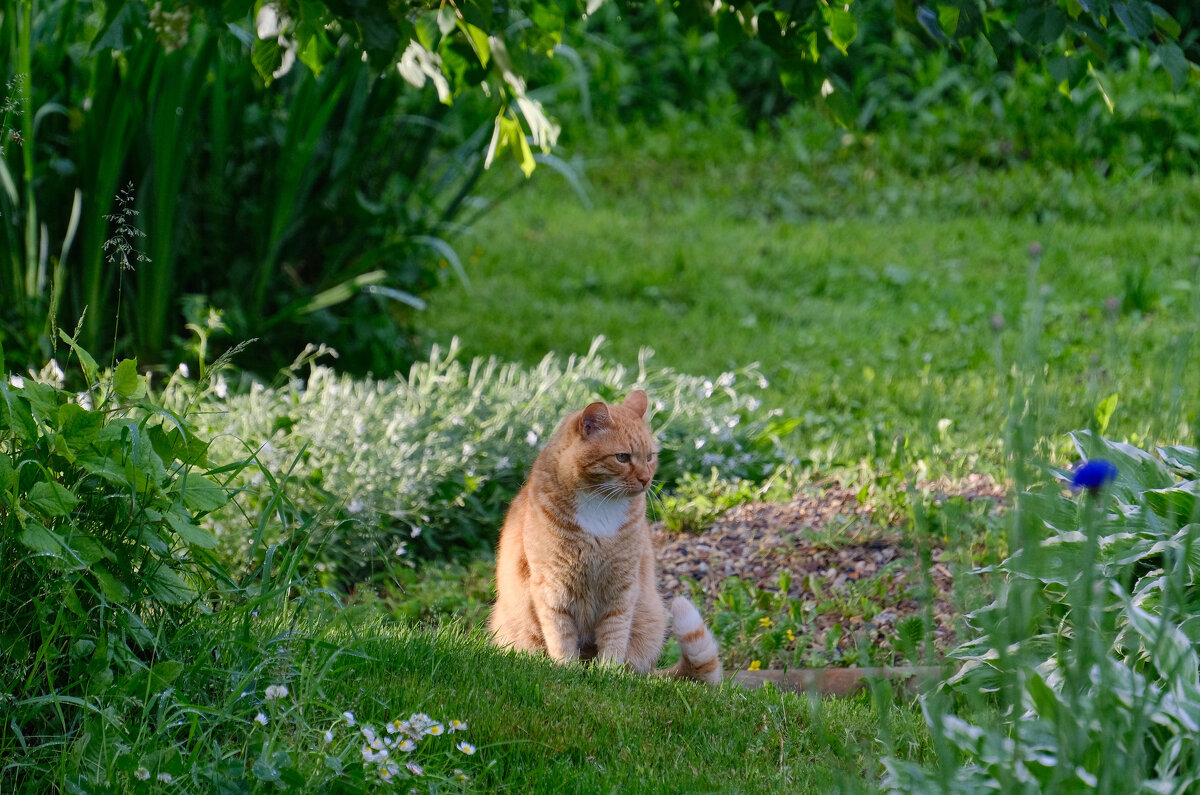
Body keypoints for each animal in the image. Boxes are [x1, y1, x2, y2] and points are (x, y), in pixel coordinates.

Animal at [487, 391, 720, 686]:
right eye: (622, 457)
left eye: (650, 457)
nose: (646, 479)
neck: (600, 506)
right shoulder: (553, 587)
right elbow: (561, 636)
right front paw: (565, 669)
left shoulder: (622, 587)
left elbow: (614, 634)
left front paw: (609, 674)